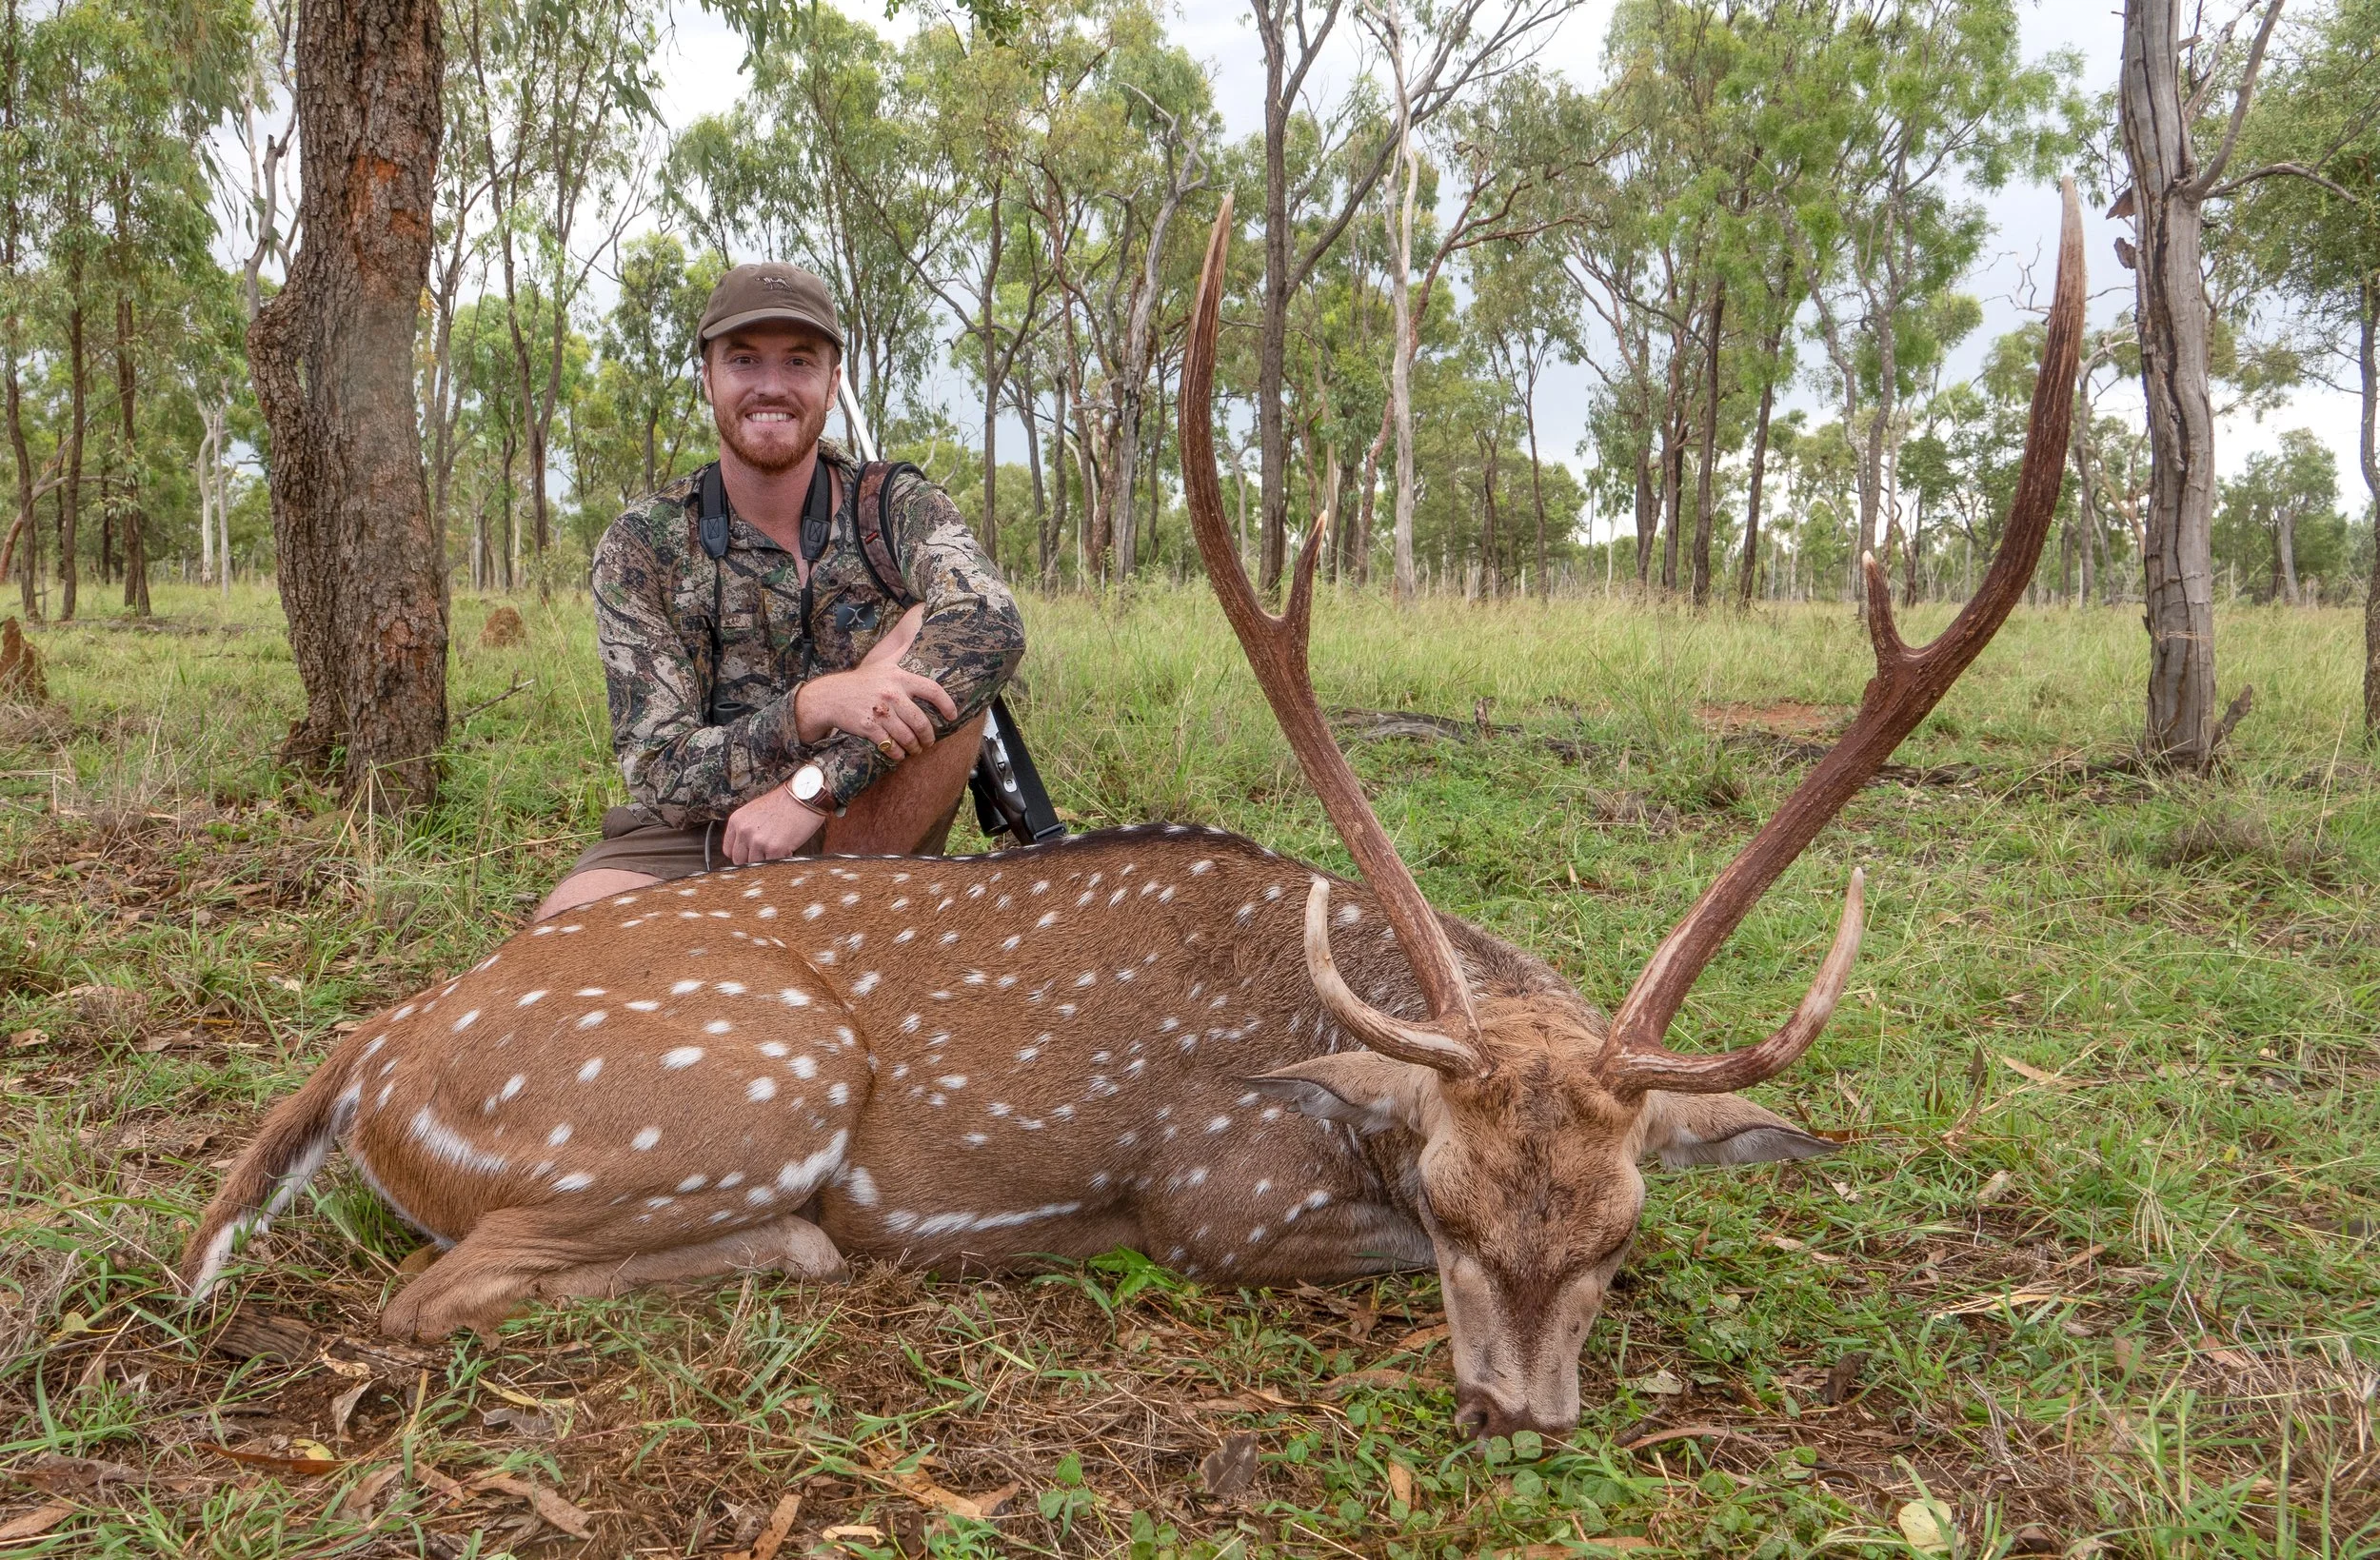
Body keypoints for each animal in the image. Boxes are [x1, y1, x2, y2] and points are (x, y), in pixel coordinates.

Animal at [182, 186, 2084, 1440]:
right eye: (1451, 1197)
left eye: (1621, 1229)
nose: (1520, 1412)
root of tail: (369, 1053)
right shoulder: (1212, 1186)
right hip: (736, 1080)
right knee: (433, 1289)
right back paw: (798, 1239)